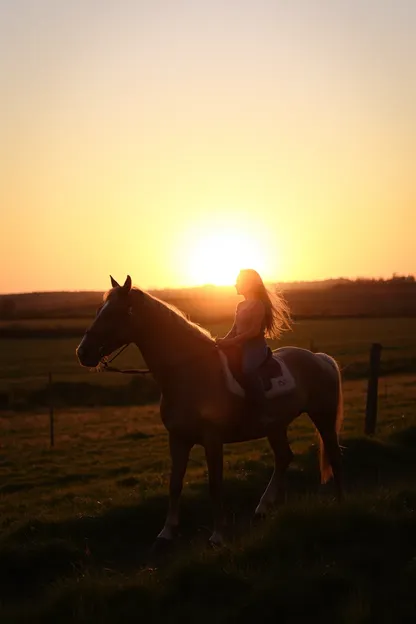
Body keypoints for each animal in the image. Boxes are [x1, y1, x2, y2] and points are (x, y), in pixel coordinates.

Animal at [76, 276, 342, 544]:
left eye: (116, 313)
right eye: (99, 310)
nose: (83, 352)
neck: (190, 372)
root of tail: (320, 358)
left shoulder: (212, 440)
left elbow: (215, 484)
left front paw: (218, 534)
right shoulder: (178, 438)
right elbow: (175, 483)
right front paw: (167, 532)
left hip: (323, 415)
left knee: (332, 451)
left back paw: (339, 497)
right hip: (276, 426)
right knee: (284, 457)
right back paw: (263, 507)